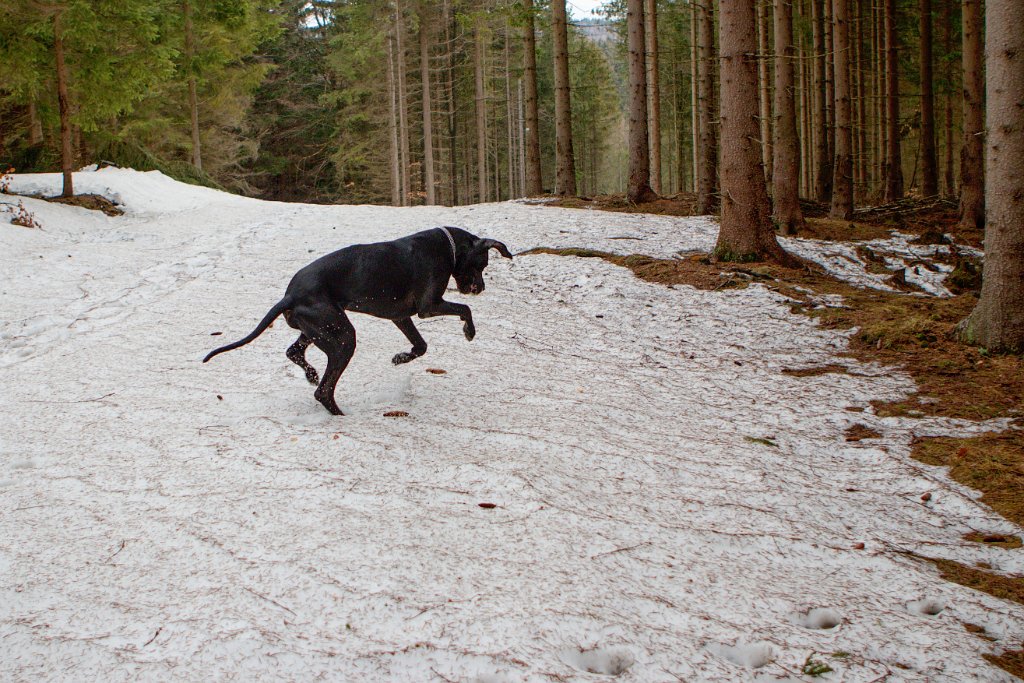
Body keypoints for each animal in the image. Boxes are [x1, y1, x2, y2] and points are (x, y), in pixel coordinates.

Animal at [203, 227, 512, 413]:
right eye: (482, 264)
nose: (480, 288)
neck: (448, 247)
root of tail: (289, 295)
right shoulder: (429, 306)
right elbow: (464, 309)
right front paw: (469, 331)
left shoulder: (401, 316)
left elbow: (420, 346)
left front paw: (400, 358)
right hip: (342, 337)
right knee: (324, 391)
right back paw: (339, 413)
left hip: (319, 328)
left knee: (294, 352)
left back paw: (311, 374)